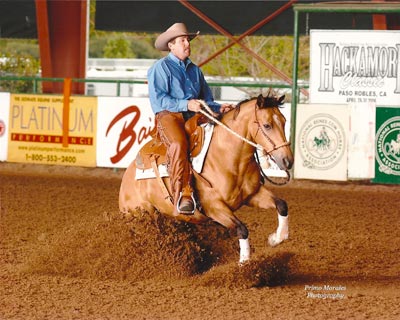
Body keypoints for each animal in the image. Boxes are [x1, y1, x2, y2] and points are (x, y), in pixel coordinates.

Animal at [119, 92, 294, 262]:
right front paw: (245, 263)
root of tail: (125, 182)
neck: (228, 157)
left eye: (284, 122)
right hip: (141, 217)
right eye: (267, 125)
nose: (288, 160)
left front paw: (277, 238)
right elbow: (242, 229)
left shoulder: (252, 194)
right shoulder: (214, 207)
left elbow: (282, 205)